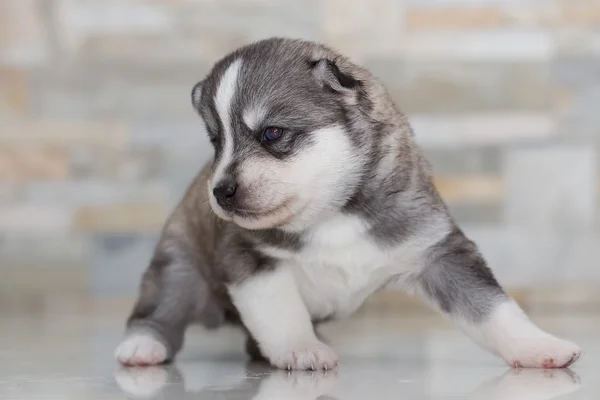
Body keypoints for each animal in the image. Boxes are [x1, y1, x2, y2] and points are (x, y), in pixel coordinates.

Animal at [116, 38, 580, 372]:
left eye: (272, 133)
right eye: (217, 142)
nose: (220, 191)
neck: (333, 213)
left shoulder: (439, 253)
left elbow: (493, 309)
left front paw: (539, 346)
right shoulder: (250, 259)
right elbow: (281, 312)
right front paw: (301, 348)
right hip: (181, 268)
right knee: (158, 310)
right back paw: (142, 346)